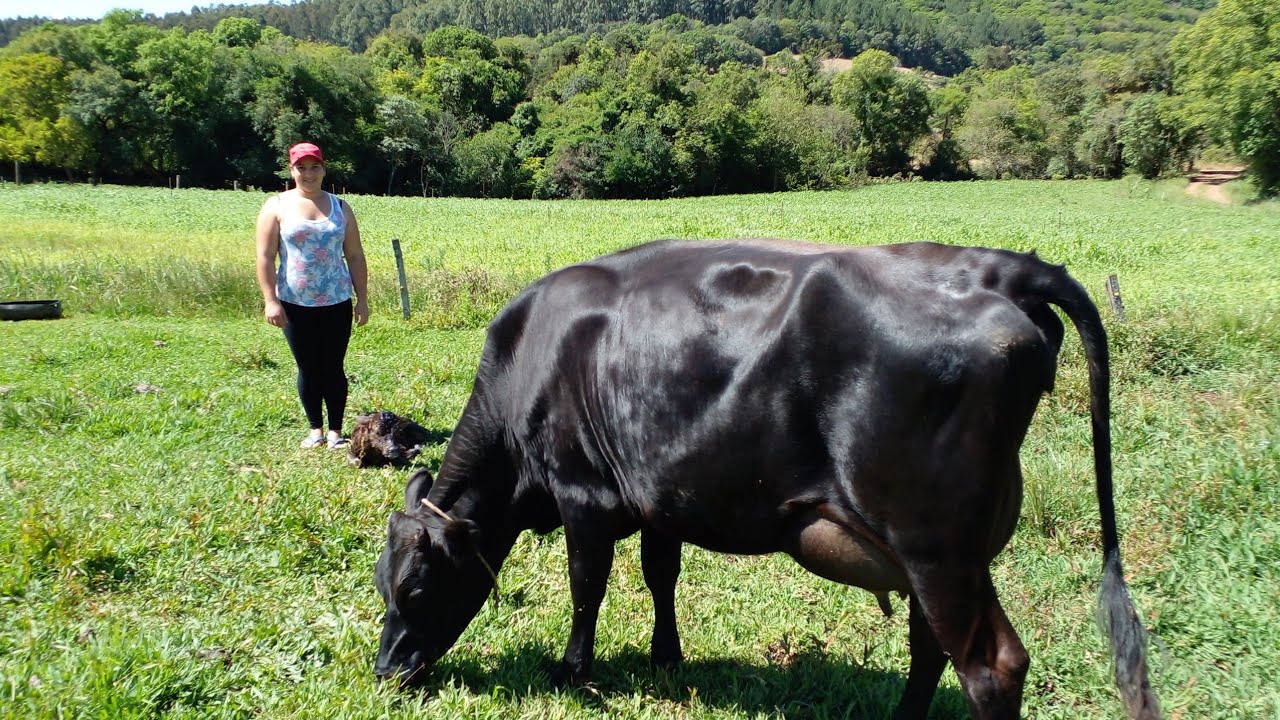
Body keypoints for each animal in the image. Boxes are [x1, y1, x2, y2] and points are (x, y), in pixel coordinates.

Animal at [374, 239, 1159, 720]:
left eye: (416, 589)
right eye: (383, 587)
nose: (386, 671)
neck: (529, 360)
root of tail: (997, 268)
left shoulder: (583, 495)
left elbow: (586, 587)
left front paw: (573, 673)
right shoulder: (659, 495)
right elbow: (661, 575)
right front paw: (667, 660)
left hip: (936, 548)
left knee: (990, 666)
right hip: (940, 555)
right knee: (930, 647)